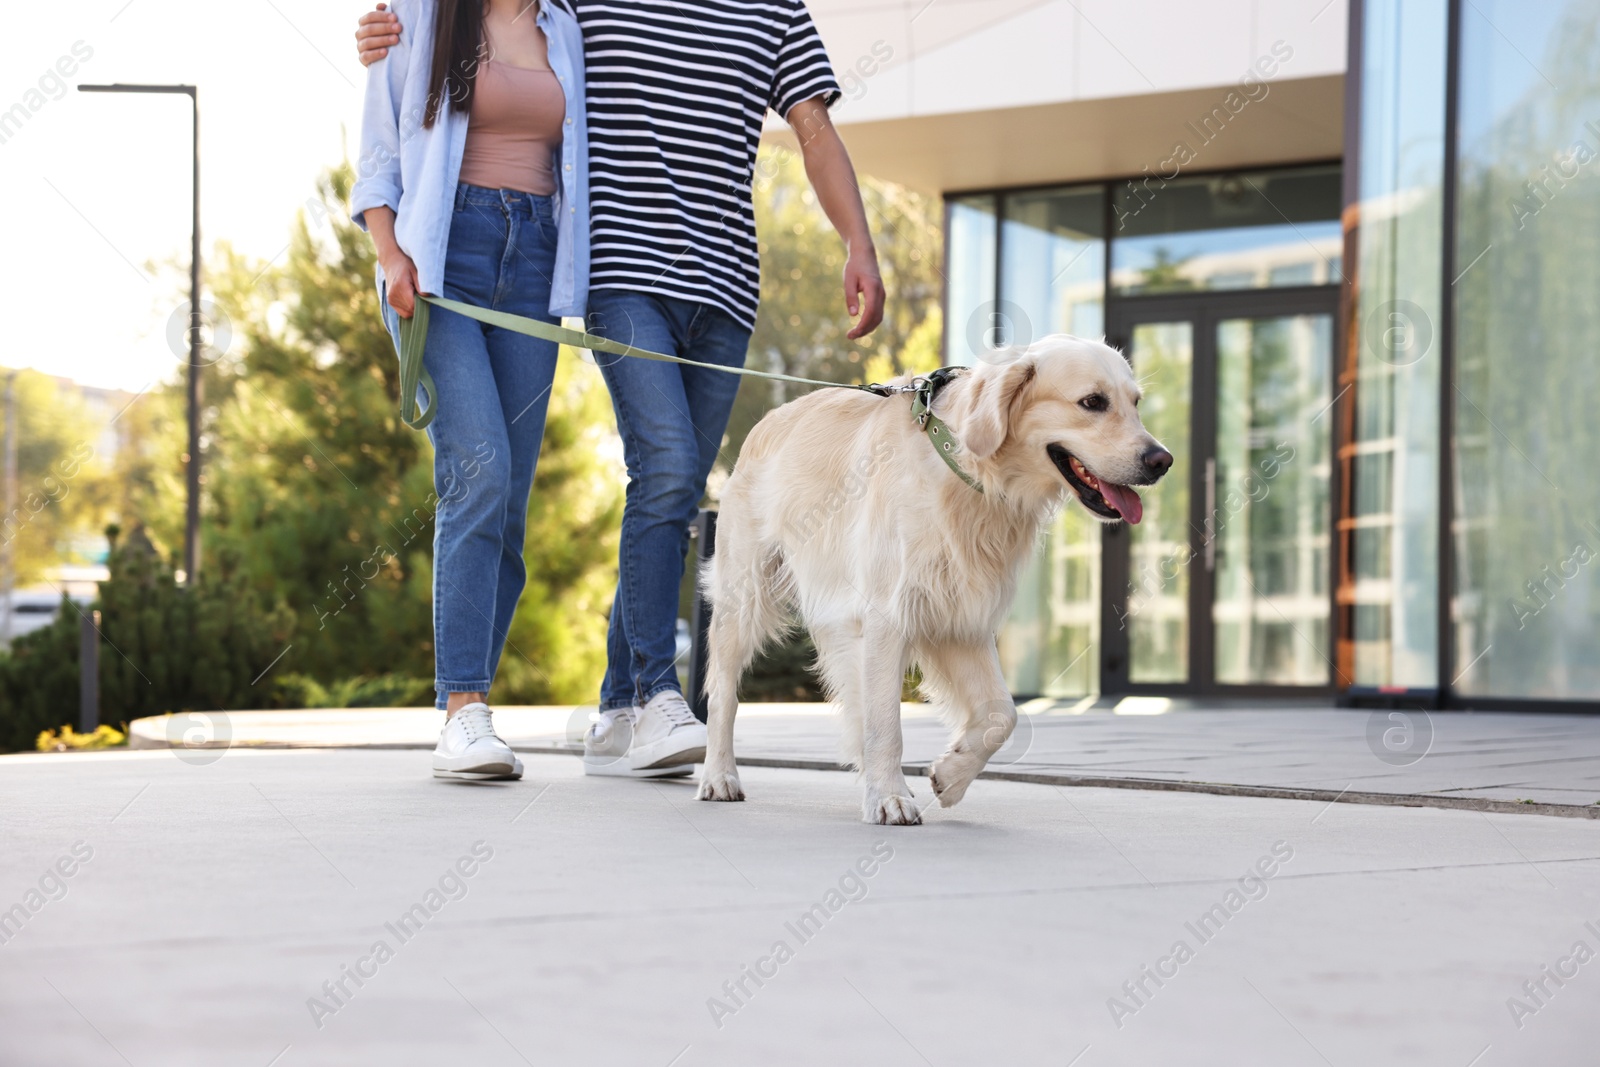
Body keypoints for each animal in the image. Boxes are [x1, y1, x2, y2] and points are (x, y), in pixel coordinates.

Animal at [694, 335, 1171, 825]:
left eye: (1135, 403)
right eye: (1092, 402)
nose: (1163, 461)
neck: (965, 468)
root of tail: (768, 420)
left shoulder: (960, 618)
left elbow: (1002, 714)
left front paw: (951, 776)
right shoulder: (887, 615)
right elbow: (886, 722)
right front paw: (889, 797)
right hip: (743, 599)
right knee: (723, 696)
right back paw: (719, 776)